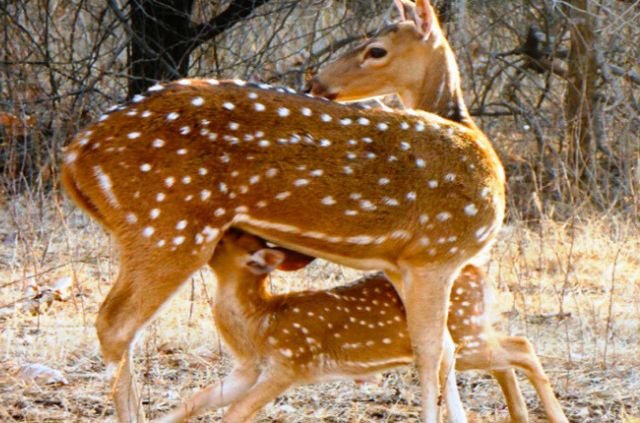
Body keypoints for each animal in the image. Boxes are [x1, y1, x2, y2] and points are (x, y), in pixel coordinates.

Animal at [60, 0, 505, 421]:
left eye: (376, 49)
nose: (317, 82)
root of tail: (74, 155)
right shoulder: (436, 253)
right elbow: (430, 351)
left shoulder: (404, 263)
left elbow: (443, 349)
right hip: (168, 226)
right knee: (115, 324)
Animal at [157, 230, 567, 423]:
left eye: (228, 239)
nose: (204, 235)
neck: (259, 322)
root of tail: (477, 269)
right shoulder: (247, 368)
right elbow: (195, 400)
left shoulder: (290, 362)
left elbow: (236, 412)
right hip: (470, 336)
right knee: (507, 356)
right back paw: (520, 415)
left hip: (466, 332)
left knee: (522, 346)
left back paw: (556, 416)